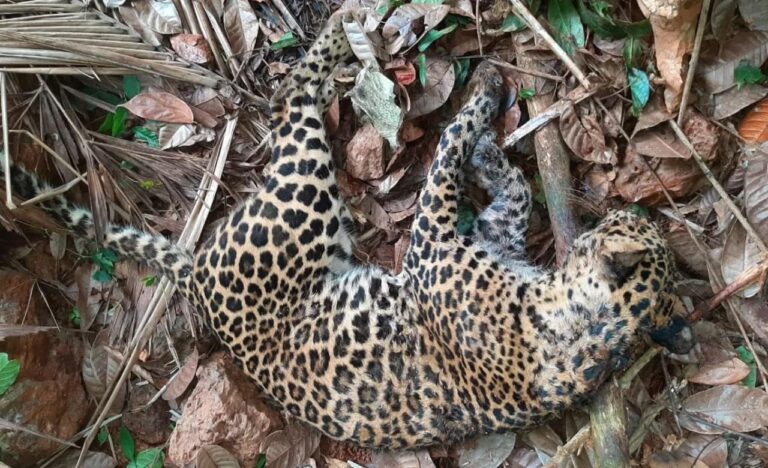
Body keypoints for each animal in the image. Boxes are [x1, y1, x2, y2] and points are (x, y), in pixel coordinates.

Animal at [2, 10, 694, 450]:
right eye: (628, 218)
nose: (631, 214)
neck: (586, 332)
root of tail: (195, 275)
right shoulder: (478, 237)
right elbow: (510, 189)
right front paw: (492, 133)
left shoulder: (434, 237)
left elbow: (447, 146)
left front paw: (483, 101)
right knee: (289, 96)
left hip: (299, 201)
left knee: (290, 97)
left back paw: (341, 31)